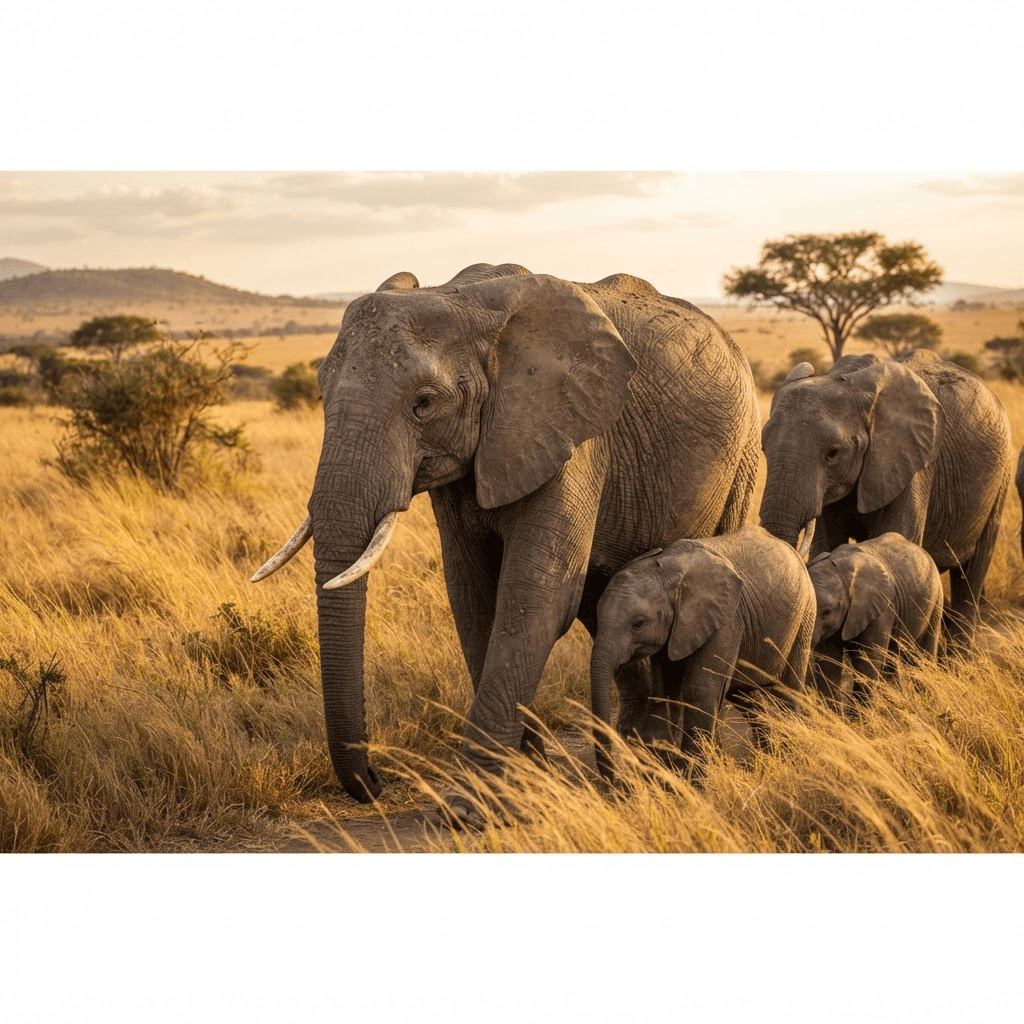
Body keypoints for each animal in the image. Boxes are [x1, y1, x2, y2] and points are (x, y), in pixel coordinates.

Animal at [251, 263, 761, 812]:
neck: (465, 302)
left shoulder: (570, 434)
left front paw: (470, 808)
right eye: (321, 394)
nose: (374, 780)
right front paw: (523, 781)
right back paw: (641, 756)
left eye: (423, 404)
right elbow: (473, 599)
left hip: (742, 456)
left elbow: (535, 598)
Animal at [589, 525, 816, 776]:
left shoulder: (727, 620)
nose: (615, 777)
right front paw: (669, 767)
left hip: (806, 612)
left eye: (638, 623)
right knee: (744, 695)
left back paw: (790, 757)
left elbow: (700, 690)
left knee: (789, 688)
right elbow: (665, 688)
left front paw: (693, 776)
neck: (668, 573)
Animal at [759, 350, 1013, 646]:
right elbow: (826, 542)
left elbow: (896, 535)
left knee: (971, 571)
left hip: (1000, 475)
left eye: (833, 453)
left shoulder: (914, 461)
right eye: (763, 447)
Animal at [807, 532, 944, 707]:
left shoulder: (882, 609)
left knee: (922, 656)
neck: (842, 572)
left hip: (935, 600)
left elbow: (868, 663)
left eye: (826, 612)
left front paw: (859, 715)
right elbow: (828, 663)